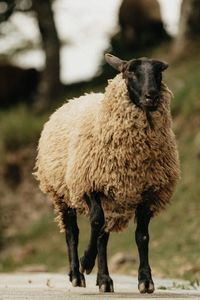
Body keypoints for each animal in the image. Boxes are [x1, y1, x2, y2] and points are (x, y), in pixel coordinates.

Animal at [34, 54, 180, 292]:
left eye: (159, 72)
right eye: (130, 71)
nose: (152, 95)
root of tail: (70, 101)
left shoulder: (148, 192)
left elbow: (142, 236)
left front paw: (145, 280)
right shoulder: (89, 184)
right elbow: (95, 221)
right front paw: (86, 262)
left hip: (111, 198)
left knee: (103, 236)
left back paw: (104, 280)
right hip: (61, 193)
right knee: (73, 233)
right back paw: (77, 274)